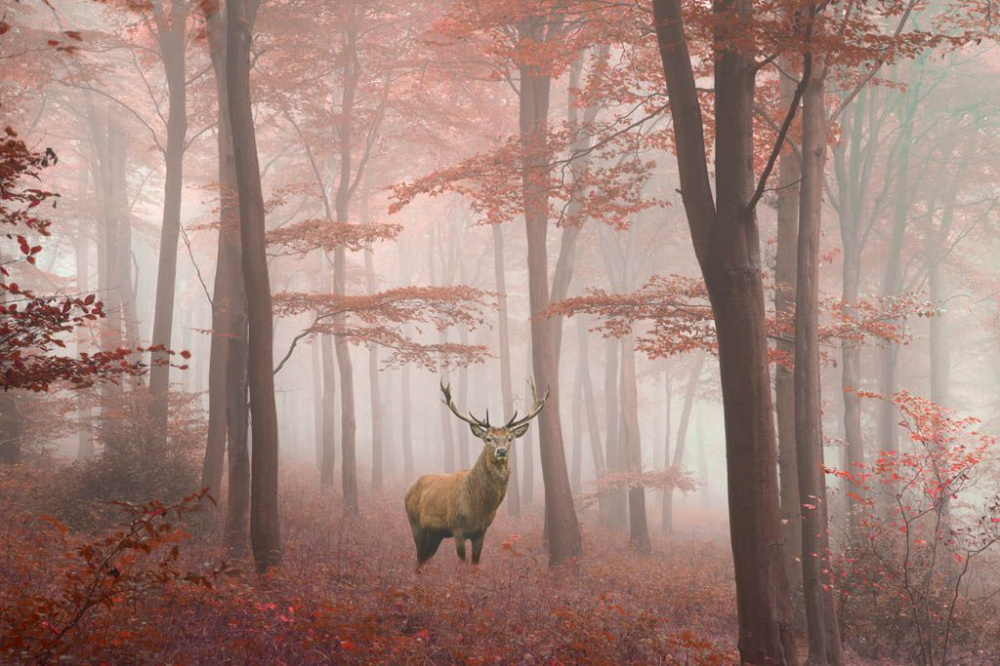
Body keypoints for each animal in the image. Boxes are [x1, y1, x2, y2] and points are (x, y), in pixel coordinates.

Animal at [404, 381, 548, 566]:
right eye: (488, 438)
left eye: (509, 438)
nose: (501, 451)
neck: (478, 508)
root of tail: (409, 491)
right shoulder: (457, 528)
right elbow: (462, 563)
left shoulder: (481, 532)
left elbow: (475, 564)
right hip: (415, 524)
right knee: (418, 558)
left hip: (435, 534)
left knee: (423, 559)